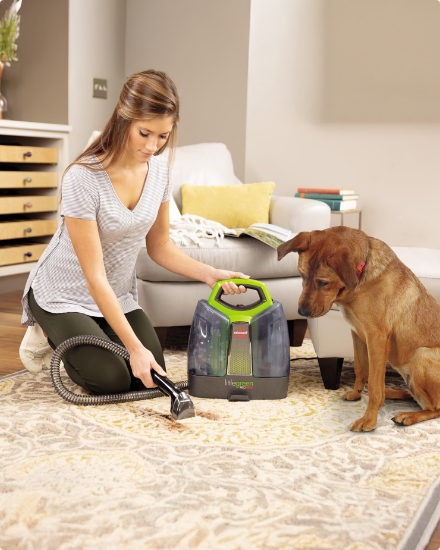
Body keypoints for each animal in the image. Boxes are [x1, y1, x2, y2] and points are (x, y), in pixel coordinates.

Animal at [276, 226, 440, 434]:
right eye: (302, 275)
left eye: (323, 282)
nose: (302, 312)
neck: (359, 281)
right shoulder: (358, 334)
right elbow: (361, 369)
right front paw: (356, 394)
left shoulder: (377, 338)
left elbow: (375, 385)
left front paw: (369, 420)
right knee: (417, 397)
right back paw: (392, 392)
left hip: (421, 355)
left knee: (434, 408)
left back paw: (407, 415)